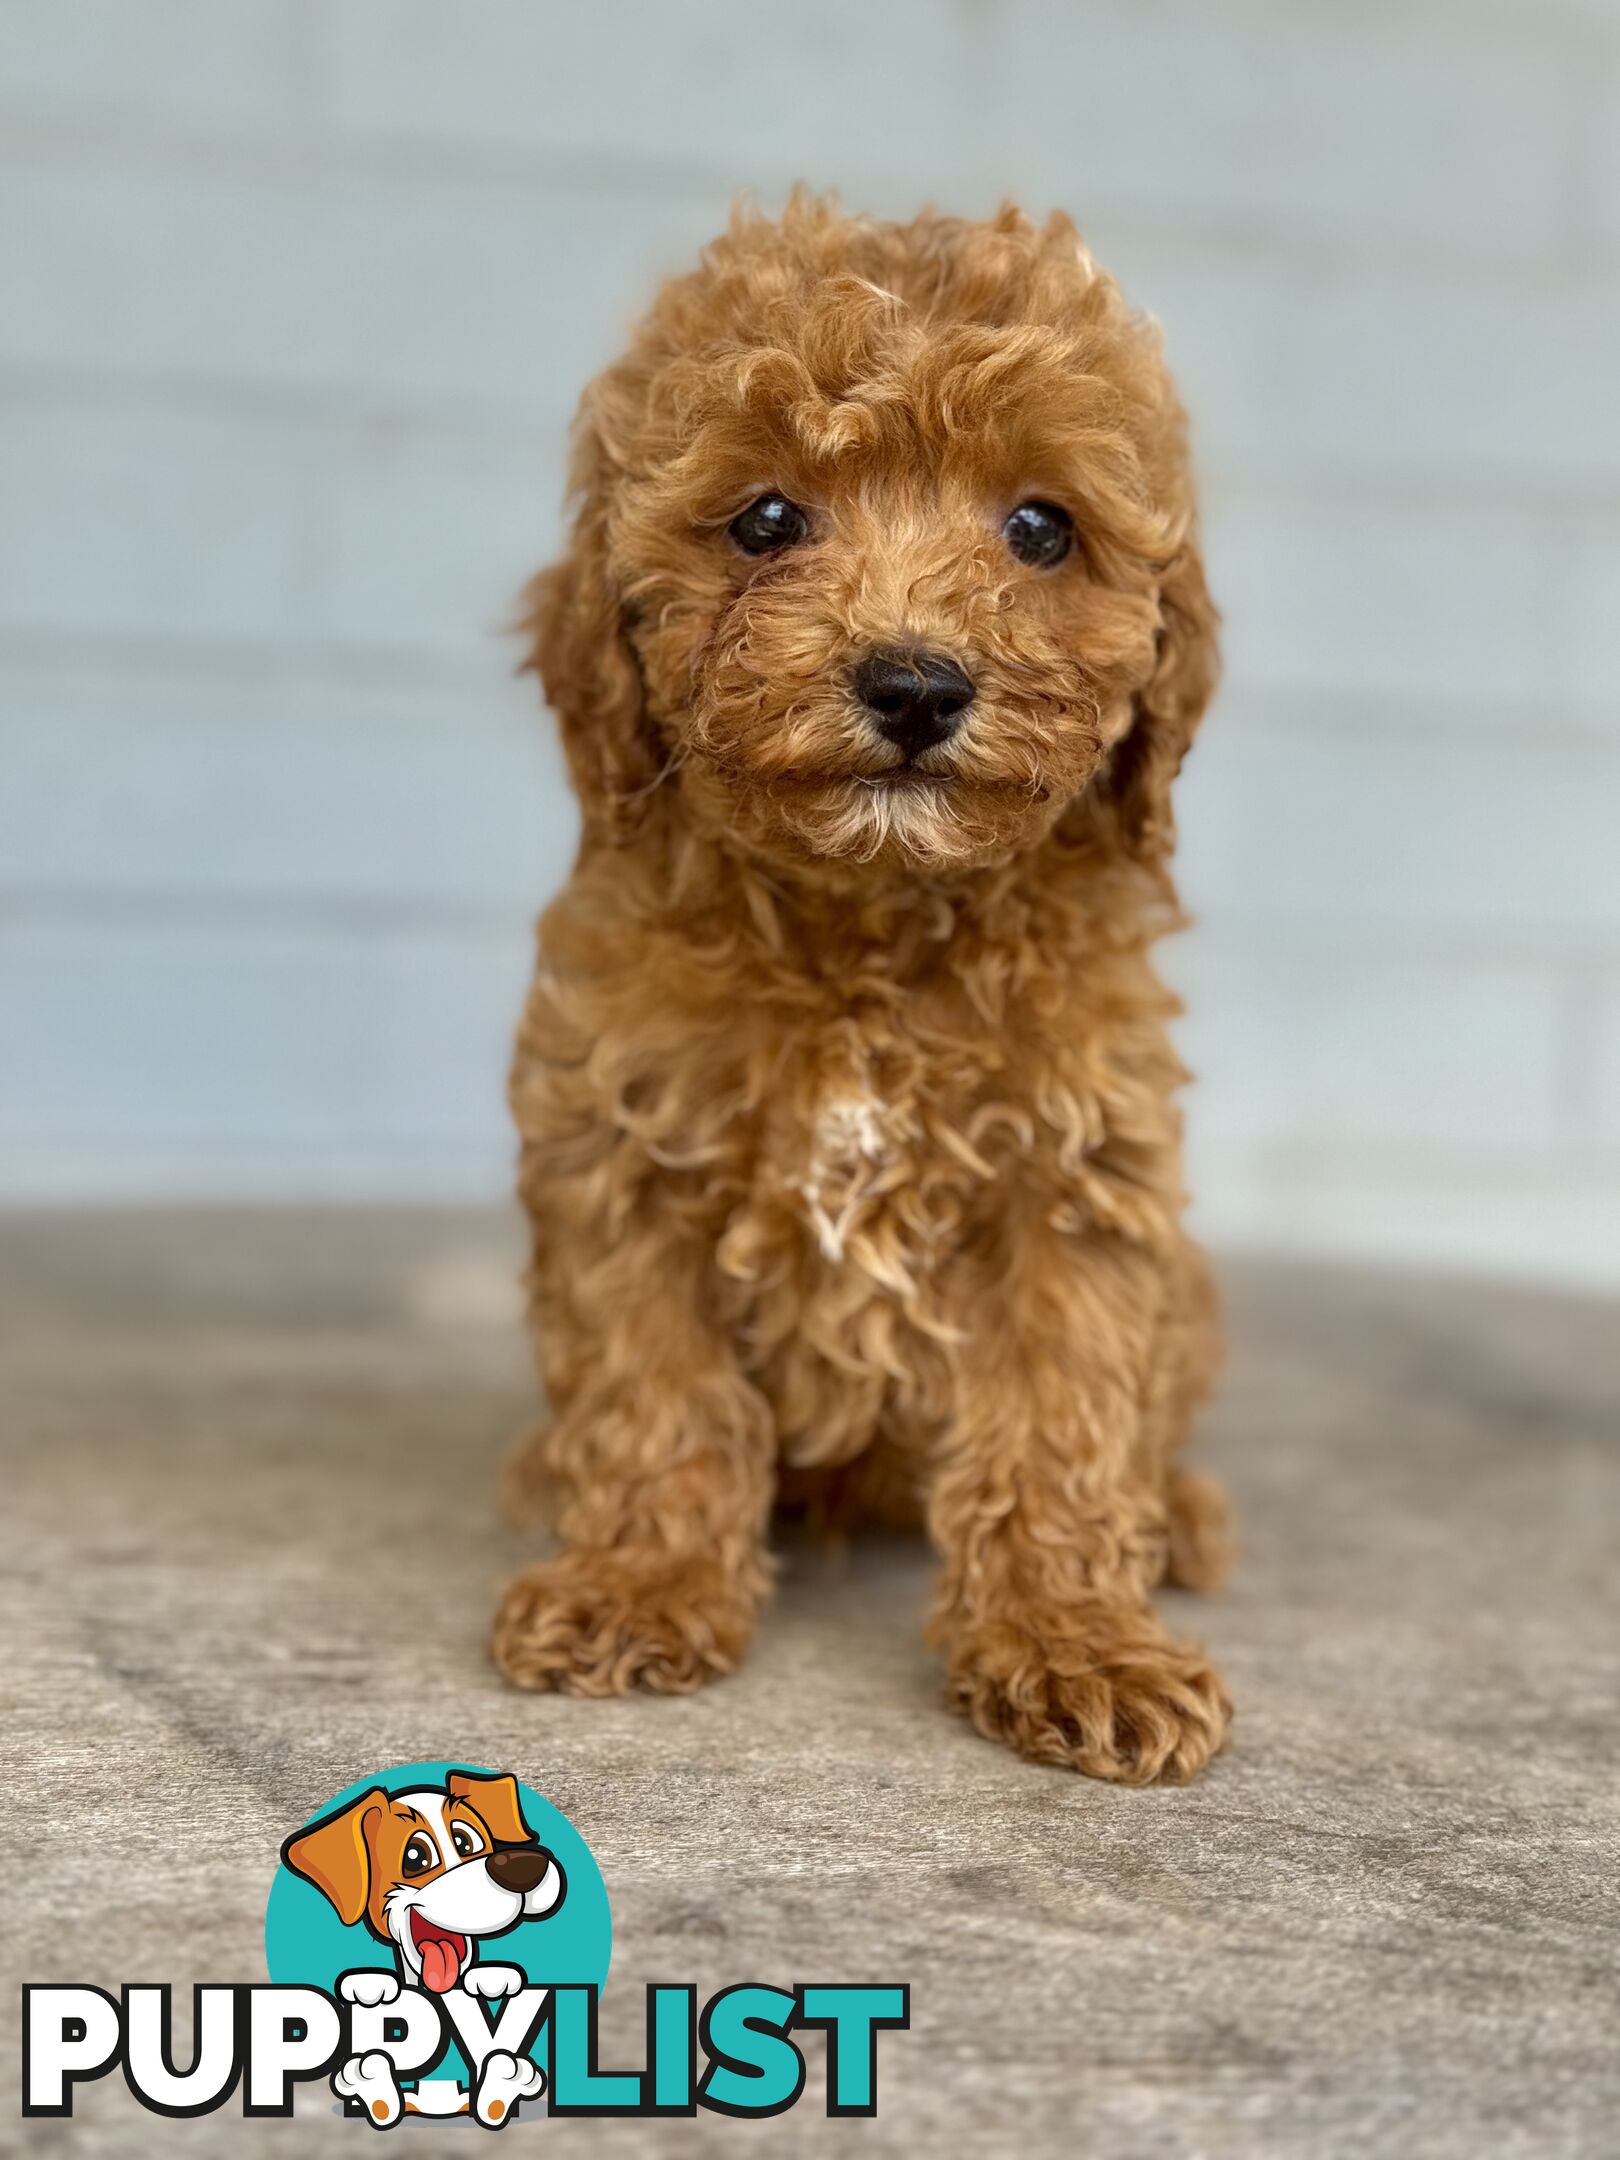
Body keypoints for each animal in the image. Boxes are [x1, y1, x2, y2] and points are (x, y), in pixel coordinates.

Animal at [494, 194, 1226, 1779]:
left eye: (1042, 528)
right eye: (766, 521)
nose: (913, 685)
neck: (872, 928)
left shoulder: (1073, 1180)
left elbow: (1064, 1425)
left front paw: (1078, 1639)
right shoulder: (620, 1151)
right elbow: (656, 1392)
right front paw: (638, 1582)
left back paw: (1182, 1518)